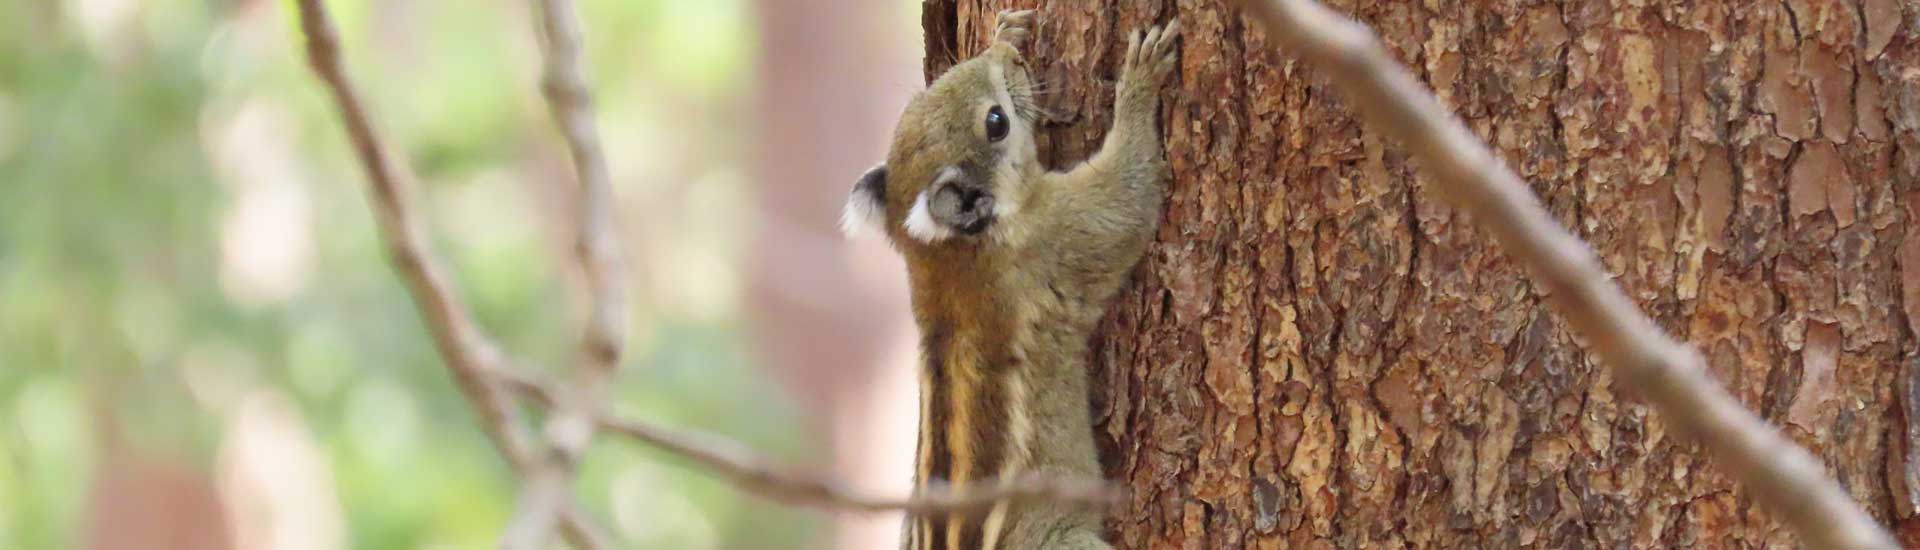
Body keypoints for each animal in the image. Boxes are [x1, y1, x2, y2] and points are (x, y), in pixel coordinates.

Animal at [841, 9, 1180, 550]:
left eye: (922, 96)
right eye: (995, 122)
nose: (1011, 61)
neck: (944, 256)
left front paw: (1005, 33)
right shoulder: (1068, 231)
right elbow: (1130, 192)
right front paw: (1141, 78)